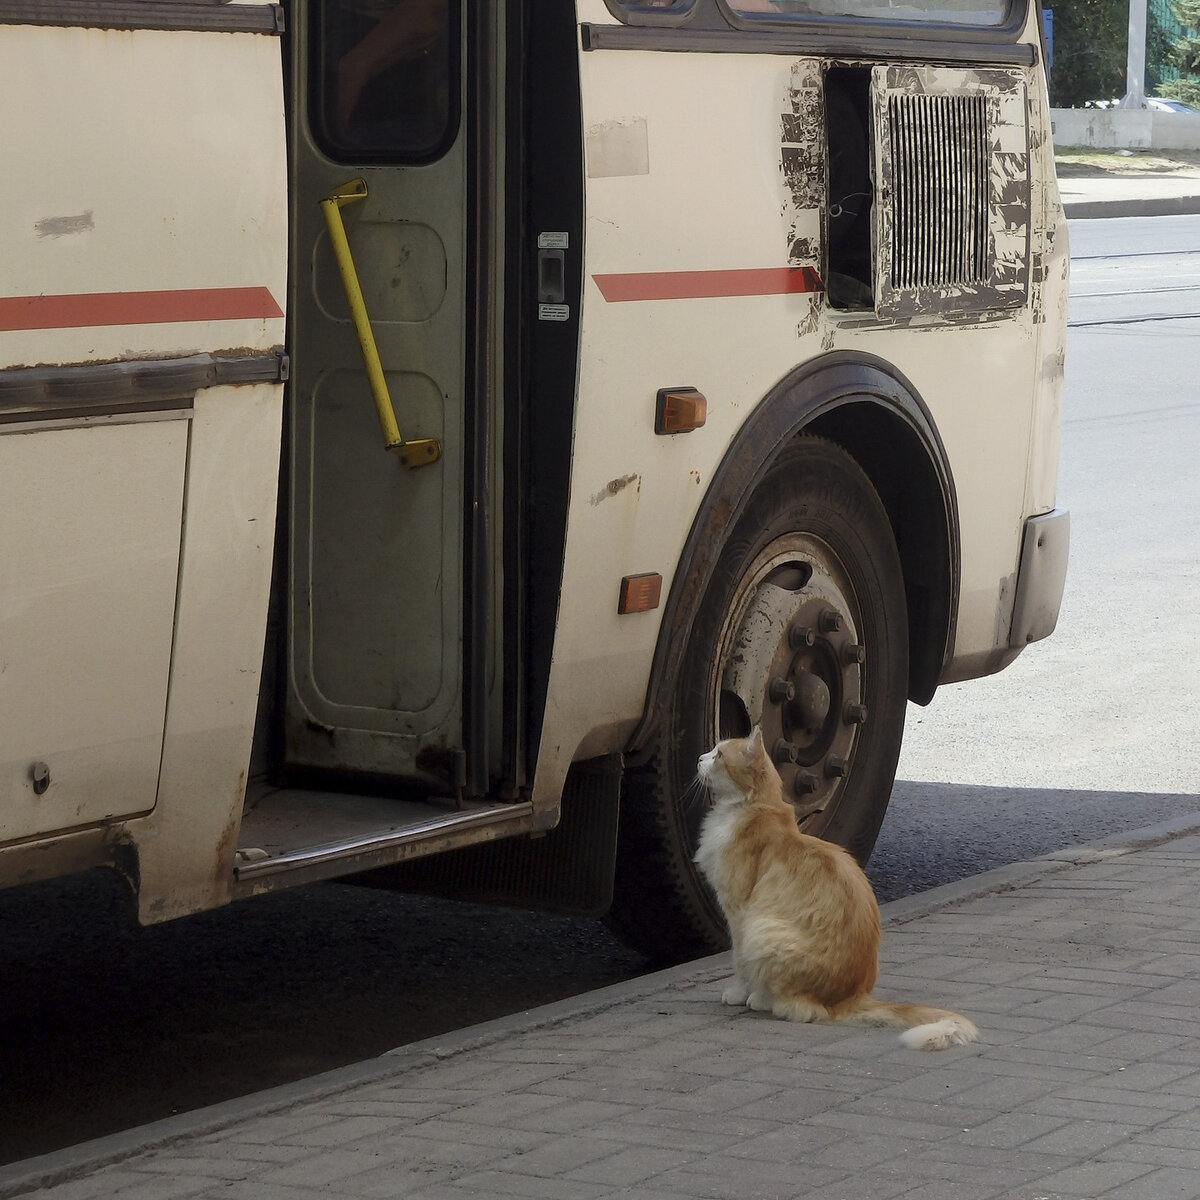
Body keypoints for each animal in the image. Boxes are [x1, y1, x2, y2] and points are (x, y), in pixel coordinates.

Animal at [696, 720, 974, 1051]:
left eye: (719, 755)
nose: (699, 758)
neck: (754, 809)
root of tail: (851, 997)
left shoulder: (737, 912)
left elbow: (738, 961)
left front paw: (738, 993)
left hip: (762, 929)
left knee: (792, 1005)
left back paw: (760, 999)